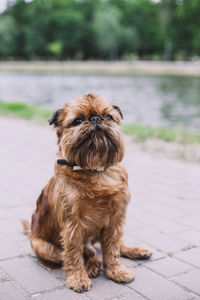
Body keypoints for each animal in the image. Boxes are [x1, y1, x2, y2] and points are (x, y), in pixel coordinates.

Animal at [21, 93, 152, 290]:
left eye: (108, 116)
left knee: (112, 244)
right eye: (78, 120)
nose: (96, 119)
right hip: (42, 247)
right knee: (80, 252)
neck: (95, 170)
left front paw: (115, 270)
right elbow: (73, 252)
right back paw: (92, 264)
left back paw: (135, 250)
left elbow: (112, 246)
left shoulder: (116, 219)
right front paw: (78, 278)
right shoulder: (72, 224)